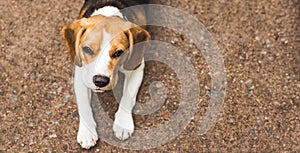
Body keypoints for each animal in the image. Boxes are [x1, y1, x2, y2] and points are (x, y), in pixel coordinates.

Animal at [60, 0, 150, 149]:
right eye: (87, 49)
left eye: (118, 53)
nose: (100, 81)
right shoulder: (80, 72)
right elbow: (83, 103)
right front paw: (87, 132)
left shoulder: (137, 66)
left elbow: (128, 96)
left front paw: (123, 123)